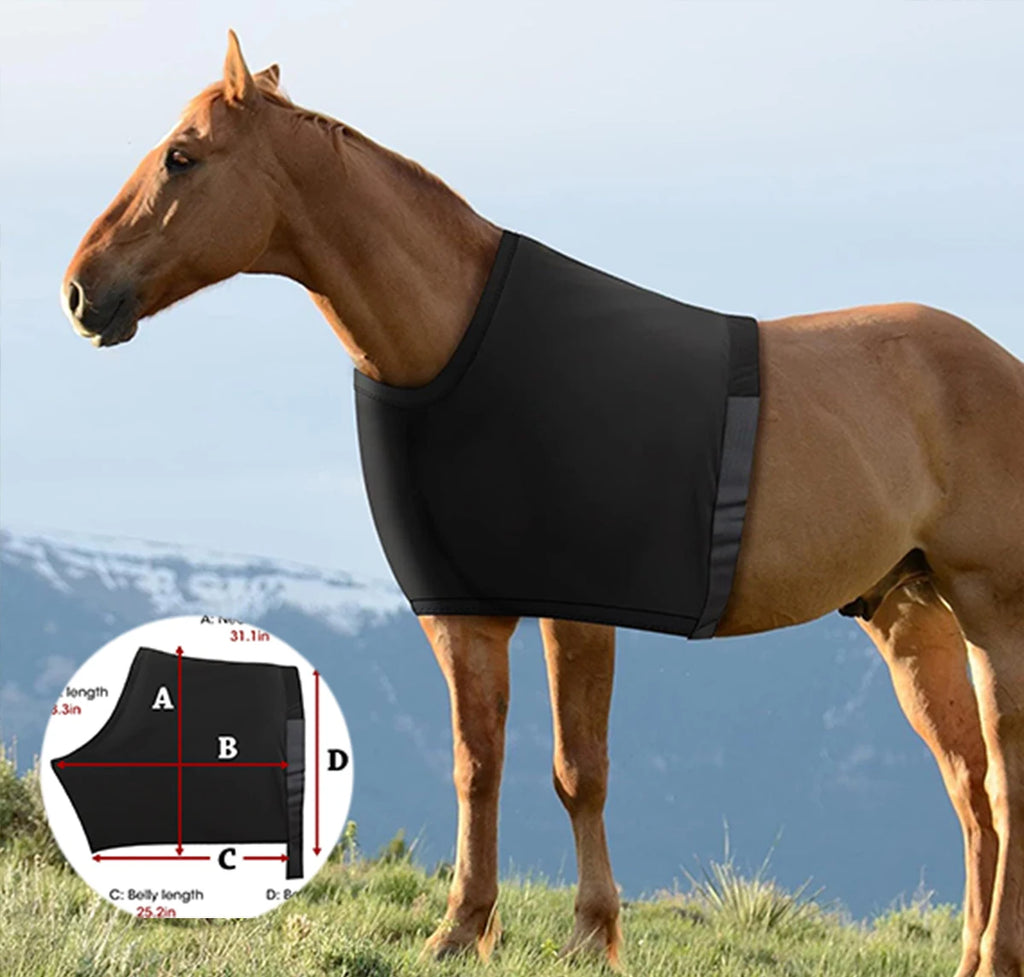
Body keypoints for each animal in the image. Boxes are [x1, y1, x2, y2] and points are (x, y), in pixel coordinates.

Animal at [61, 32, 1023, 977]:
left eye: (182, 157)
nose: (80, 290)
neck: (459, 345)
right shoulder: (464, 612)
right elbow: (475, 764)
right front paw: (461, 927)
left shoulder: (577, 610)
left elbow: (578, 769)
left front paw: (593, 934)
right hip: (910, 616)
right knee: (971, 790)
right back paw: (972, 957)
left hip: (991, 612)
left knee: (1004, 777)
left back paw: (998, 953)